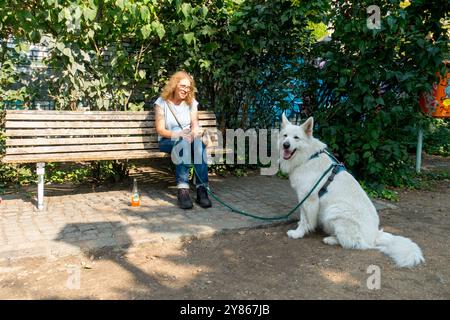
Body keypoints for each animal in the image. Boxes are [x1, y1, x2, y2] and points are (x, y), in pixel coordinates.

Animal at [280, 114, 424, 268]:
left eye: (296, 137)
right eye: (285, 136)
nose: (285, 145)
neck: (308, 157)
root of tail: (375, 236)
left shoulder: (308, 198)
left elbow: (305, 219)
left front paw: (298, 233)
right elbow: (303, 218)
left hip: (335, 209)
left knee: (355, 244)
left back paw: (331, 239)